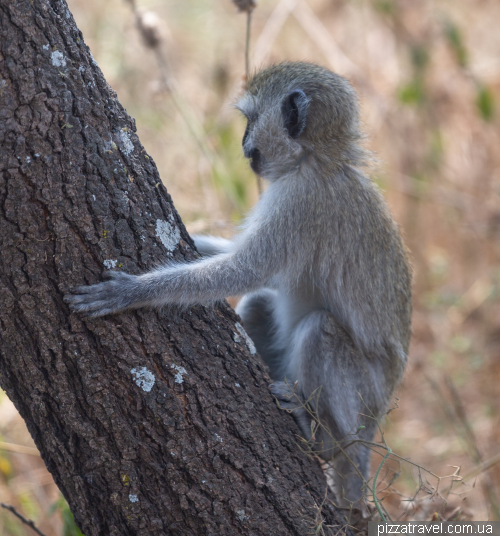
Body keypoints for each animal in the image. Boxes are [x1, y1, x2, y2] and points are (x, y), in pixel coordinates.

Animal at [65, 62, 410, 506]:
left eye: (250, 120)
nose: (244, 146)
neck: (317, 159)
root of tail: (376, 421)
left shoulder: (298, 203)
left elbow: (242, 270)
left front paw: (130, 292)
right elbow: (245, 268)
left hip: (364, 397)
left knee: (319, 329)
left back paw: (326, 441)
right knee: (260, 303)